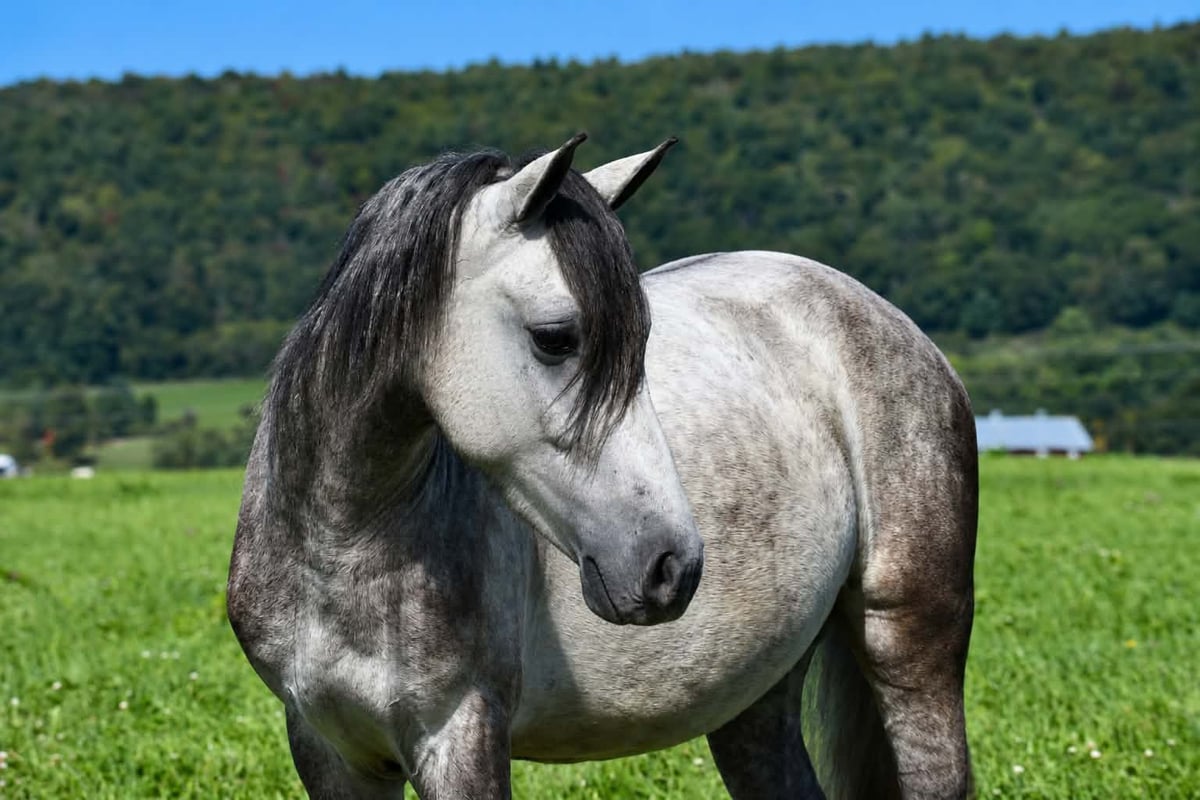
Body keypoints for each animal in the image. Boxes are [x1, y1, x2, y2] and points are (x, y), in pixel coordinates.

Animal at [227, 133, 978, 800]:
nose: (673, 567)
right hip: (756, 693)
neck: (342, 548)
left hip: (909, 645)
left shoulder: (459, 735)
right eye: (556, 337)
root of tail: (893, 322)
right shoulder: (329, 749)